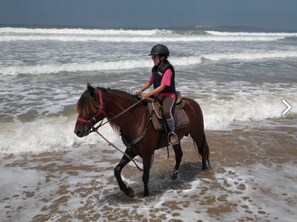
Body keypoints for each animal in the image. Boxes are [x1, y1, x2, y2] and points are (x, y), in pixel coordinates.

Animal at [73, 84, 209, 197]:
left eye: (90, 109)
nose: (77, 132)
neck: (135, 119)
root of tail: (194, 103)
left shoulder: (147, 153)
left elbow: (145, 176)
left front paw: (146, 195)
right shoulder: (132, 150)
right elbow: (117, 170)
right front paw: (127, 191)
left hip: (197, 133)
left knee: (202, 149)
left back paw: (204, 169)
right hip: (176, 140)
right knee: (179, 154)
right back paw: (174, 175)